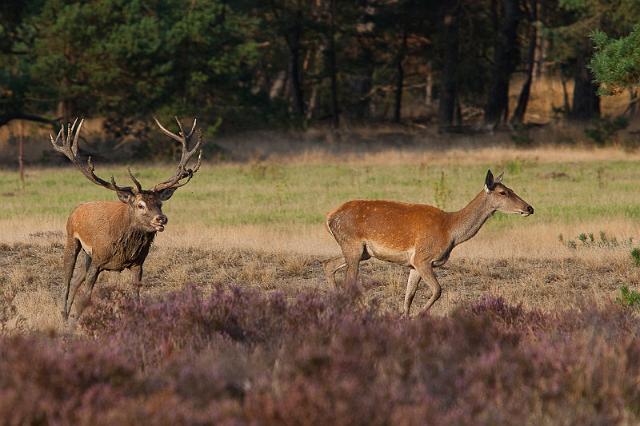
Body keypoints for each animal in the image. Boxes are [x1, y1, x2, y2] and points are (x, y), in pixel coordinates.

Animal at [51, 116, 204, 320]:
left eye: (160, 204)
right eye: (140, 205)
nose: (161, 219)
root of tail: (77, 208)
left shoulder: (138, 263)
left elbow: (136, 297)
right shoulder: (98, 260)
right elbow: (87, 295)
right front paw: (76, 322)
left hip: (88, 255)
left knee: (76, 280)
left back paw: (68, 314)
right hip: (72, 239)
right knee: (67, 280)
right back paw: (64, 315)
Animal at [322, 170, 532, 316]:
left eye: (512, 189)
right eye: (503, 192)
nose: (530, 208)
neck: (450, 232)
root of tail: (329, 217)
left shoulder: (413, 264)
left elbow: (409, 296)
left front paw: (405, 318)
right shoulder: (423, 258)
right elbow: (438, 290)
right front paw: (419, 315)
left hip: (361, 252)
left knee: (328, 265)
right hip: (352, 244)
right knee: (348, 281)